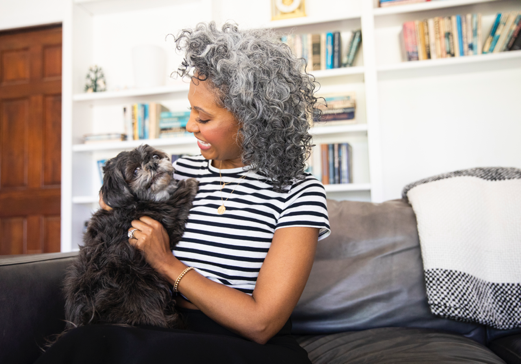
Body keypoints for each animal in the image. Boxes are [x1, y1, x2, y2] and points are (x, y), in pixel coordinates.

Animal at [61, 144, 199, 332]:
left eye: (155, 156)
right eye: (135, 171)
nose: (153, 164)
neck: (133, 205)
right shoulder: (168, 217)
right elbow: (178, 200)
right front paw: (189, 183)